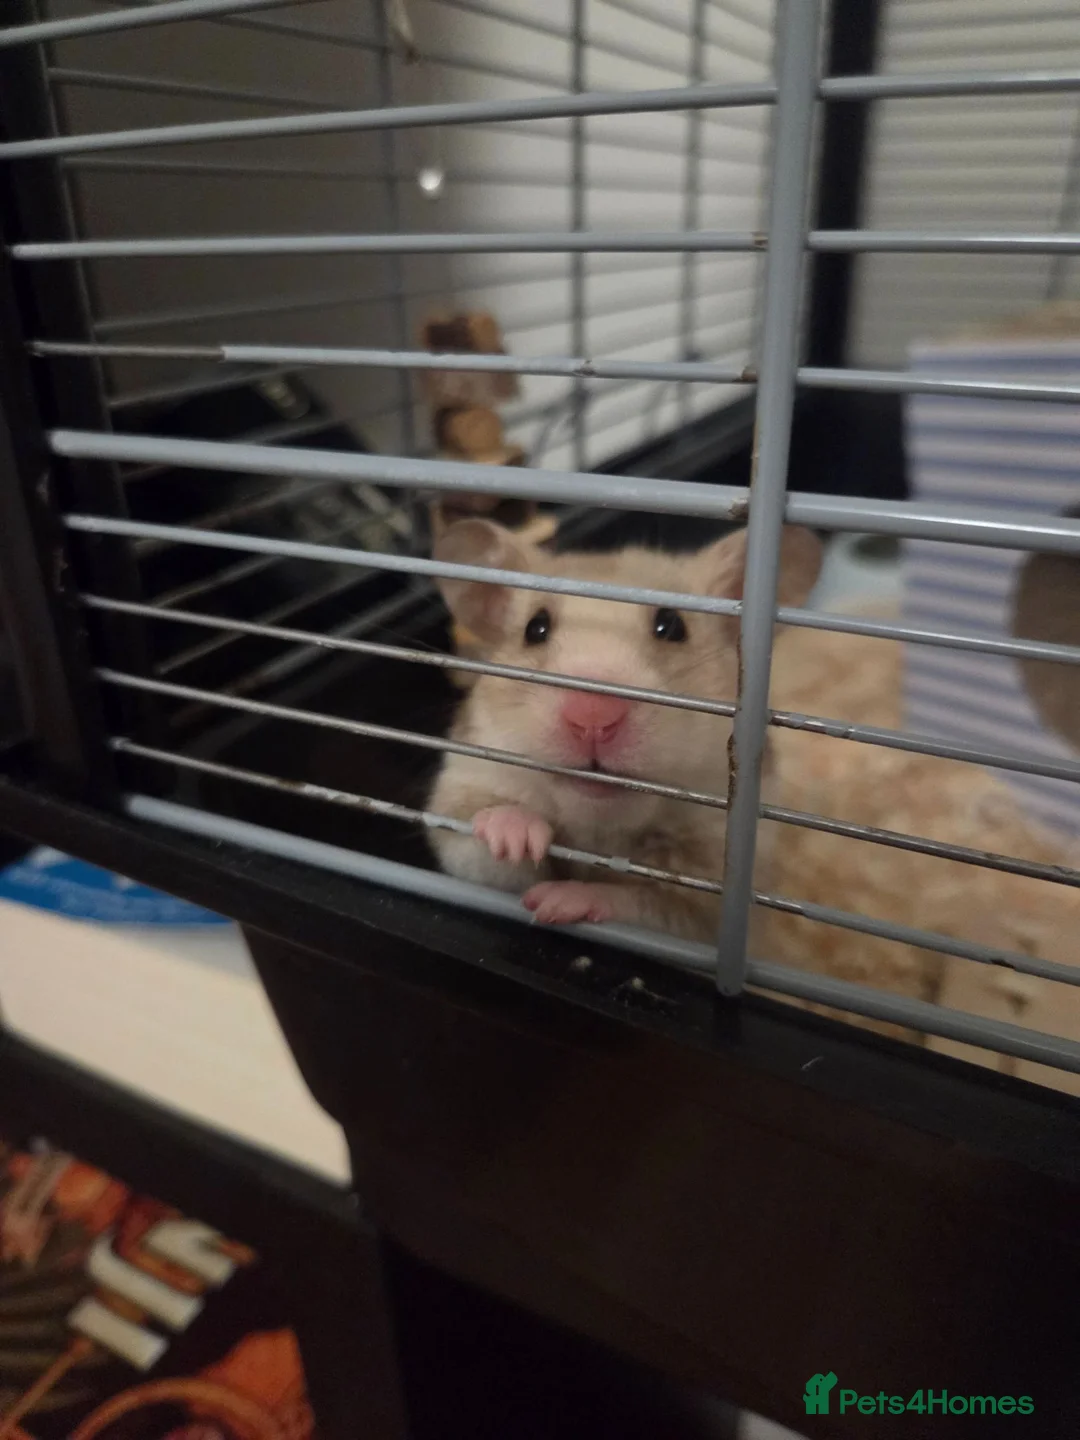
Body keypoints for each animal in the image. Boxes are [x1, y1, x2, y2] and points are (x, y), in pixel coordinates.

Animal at [426, 517, 822, 942]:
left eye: (672, 625)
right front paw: (515, 836)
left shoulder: (707, 903)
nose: (593, 717)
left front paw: (555, 903)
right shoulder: (466, 788)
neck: (600, 829)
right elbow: (479, 855)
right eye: (535, 628)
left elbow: (640, 905)